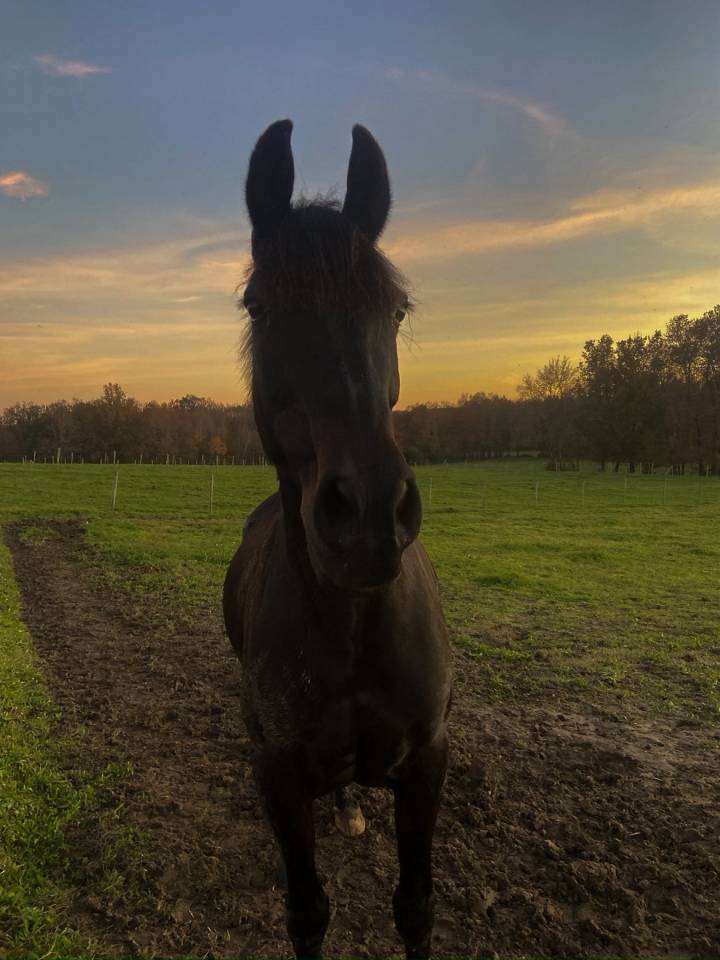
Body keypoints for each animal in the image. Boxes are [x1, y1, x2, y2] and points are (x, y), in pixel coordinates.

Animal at [223, 119, 452, 960]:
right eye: (257, 303)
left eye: (398, 308)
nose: (368, 517)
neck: (354, 626)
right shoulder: (280, 774)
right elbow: (308, 911)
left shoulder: (427, 761)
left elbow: (415, 906)